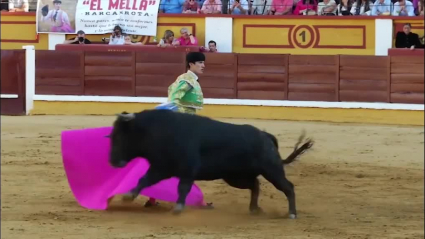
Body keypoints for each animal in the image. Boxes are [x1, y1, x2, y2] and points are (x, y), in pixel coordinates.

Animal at [107, 109, 312, 218]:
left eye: (120, 136)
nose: (113, 161)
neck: (159, 130)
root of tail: (265, 136)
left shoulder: (187, 169)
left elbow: (183, 188)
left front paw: (178, 208)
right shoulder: (161, 167)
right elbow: (144, 179)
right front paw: (128, 196)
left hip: (272, 170)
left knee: (288, 187)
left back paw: (292, 214)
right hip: (235, 176)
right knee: (255, 184)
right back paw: (253, 209)